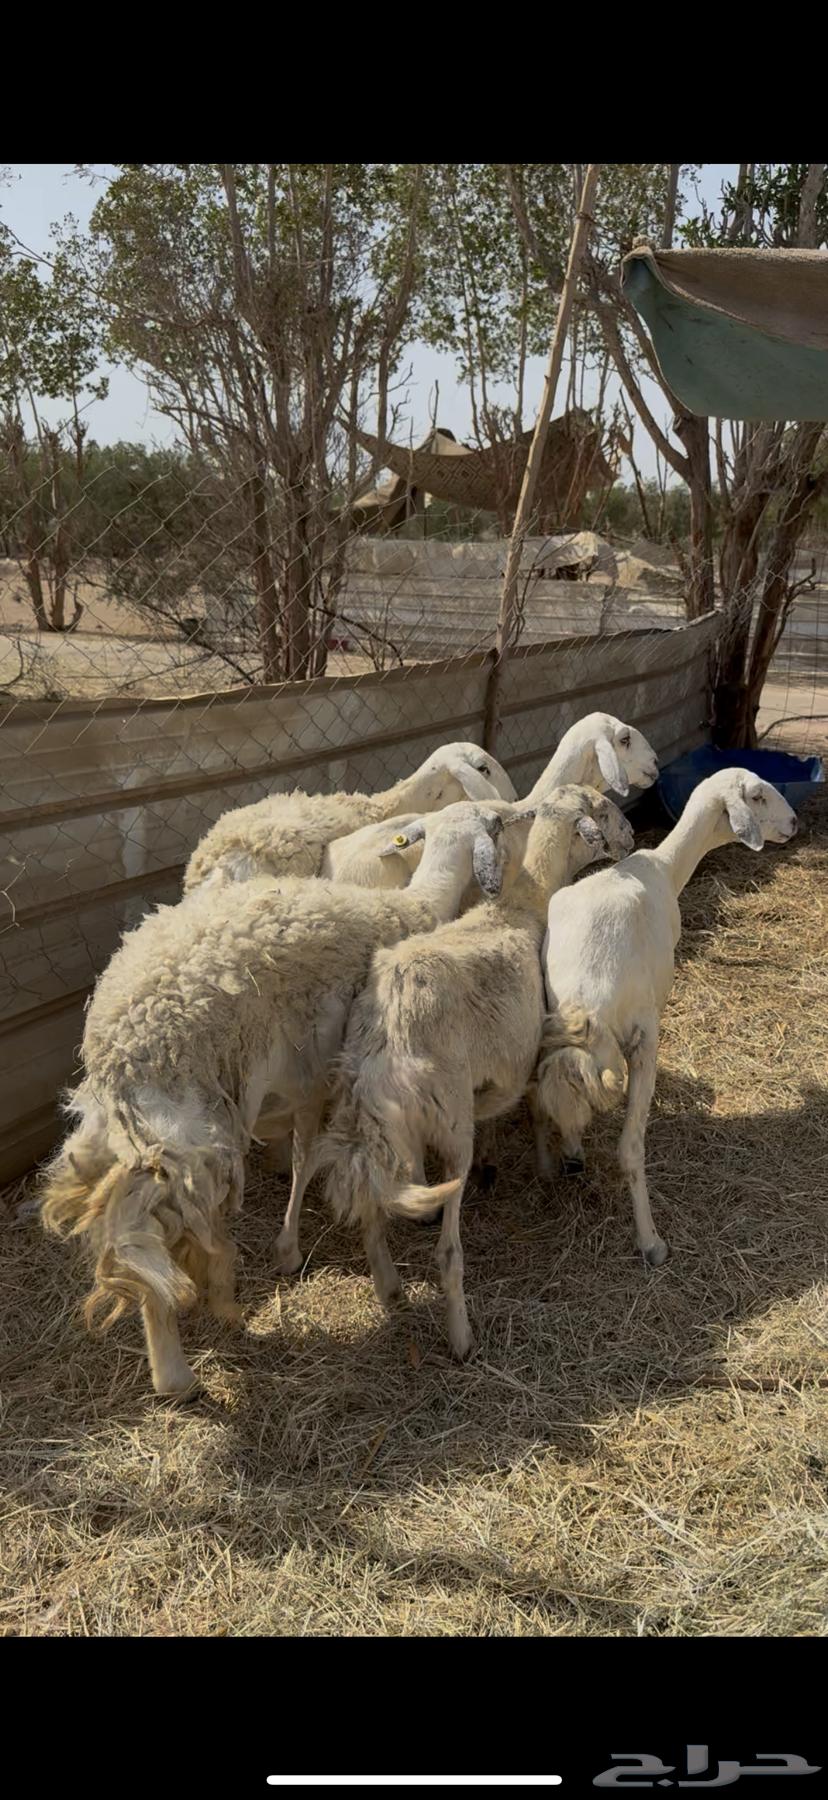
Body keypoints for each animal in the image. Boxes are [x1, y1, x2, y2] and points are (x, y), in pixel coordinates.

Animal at [40, 801, 525, 1395]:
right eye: (494, 825)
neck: (413, 904)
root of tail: (115, 1044)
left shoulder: (320, 1082)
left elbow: (316, 1155)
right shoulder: (328, 1076)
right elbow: (318, 1158)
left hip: (120, 1135)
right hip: (187, 1133)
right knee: (152, 1229)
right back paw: (177, 1373)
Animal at [312, 786, 634, 1358]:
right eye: (601, 810)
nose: (635, 834)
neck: (515, 906)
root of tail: (385, 1046)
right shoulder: (528, 1056)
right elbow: (537, 1109)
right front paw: (552, 1163)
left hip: (373, 1130)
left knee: (371, 1219)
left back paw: (391, 1291)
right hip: (449, 1123)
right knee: (447, 1252)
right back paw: (461, 1339)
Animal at [530, 768, 798, 1269]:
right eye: (757, 795)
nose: (793, 823)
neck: (665, 867)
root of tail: (584, 1003)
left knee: (545, 1100)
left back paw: (558, 1162)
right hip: (642, 1040)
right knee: (629, 1149)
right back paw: (650, 1241)